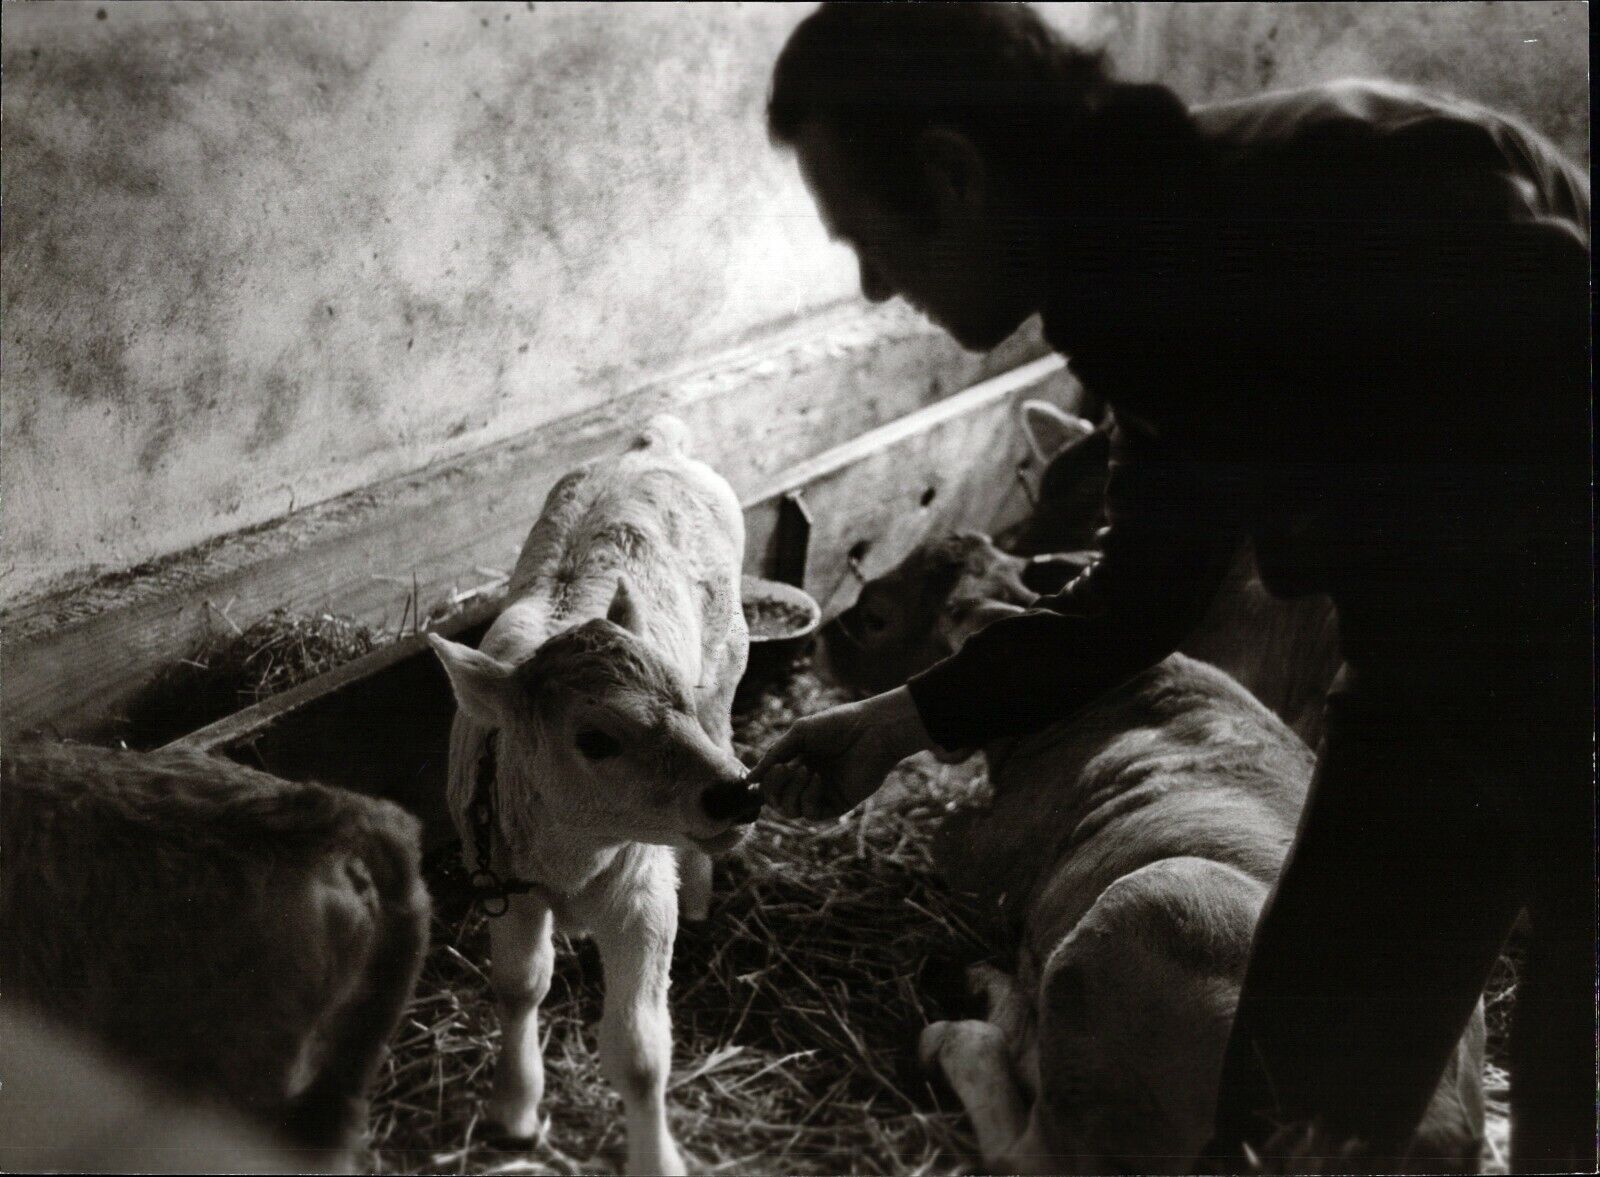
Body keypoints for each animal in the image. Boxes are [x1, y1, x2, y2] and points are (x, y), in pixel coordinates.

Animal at [428, 415, 758, 1177]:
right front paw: (514, 1108)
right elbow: (519, 984)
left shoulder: (643, 896)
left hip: (730, 662)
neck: (573, 855)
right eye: (595, 738)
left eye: (676, 695)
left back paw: (703, 885)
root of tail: (655, 443)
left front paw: (656, 1159)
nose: (737, 794)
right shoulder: (504, 876)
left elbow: (639, 1052)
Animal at [825, 534, 1484, 1177]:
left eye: (877, 616)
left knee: (1035, 1152)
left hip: (1147, 904)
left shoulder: (982, 856)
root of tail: (1430, 1133)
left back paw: (958, 1028)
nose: (831, 636)